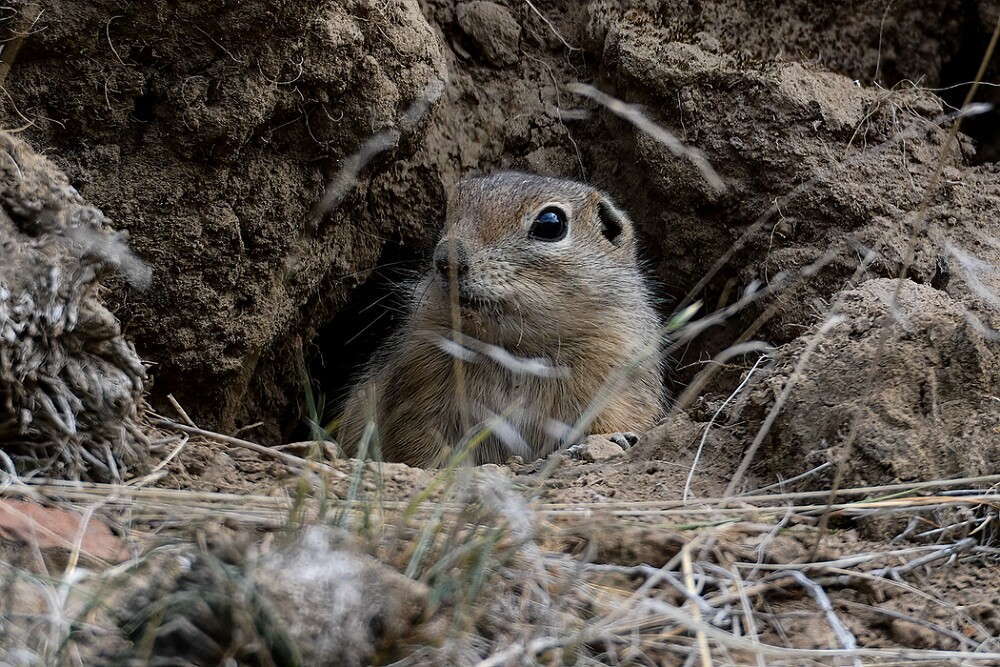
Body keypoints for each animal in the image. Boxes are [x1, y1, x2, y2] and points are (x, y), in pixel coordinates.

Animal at [338, 171, 664, 467]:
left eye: (551, 223)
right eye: (449, 209)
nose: (447, 258)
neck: (515, 348)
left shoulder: (617, 373)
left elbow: (615, 417)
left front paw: (615, 439)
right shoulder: (419, 384)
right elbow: (420, 446)